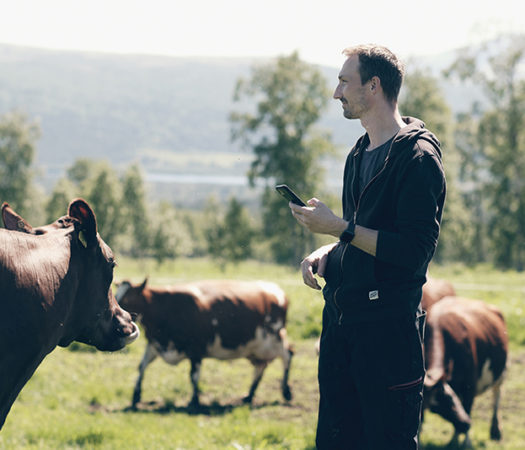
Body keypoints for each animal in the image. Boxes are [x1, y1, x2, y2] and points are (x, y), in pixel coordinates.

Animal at [115, 278, 292, 408]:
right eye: (115, 296)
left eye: (128, 298)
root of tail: (276, 289)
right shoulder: (154, 344)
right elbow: (141, 367)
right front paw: (136, 396)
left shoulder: (196, 348)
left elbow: (193, 375)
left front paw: (194, 401)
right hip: (258, 348)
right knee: (261, 366)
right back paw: (249, 395)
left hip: (275, 337)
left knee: (287, 355)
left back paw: (286, 391)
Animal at [422, 296, 508, 446]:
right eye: (438, 407)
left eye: (450, 397)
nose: (466, 424)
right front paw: (453, 441)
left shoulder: (470, 386)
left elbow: (467, 408)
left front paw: (466, 443)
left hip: (501, 373)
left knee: (496, 396)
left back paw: (495, 431)